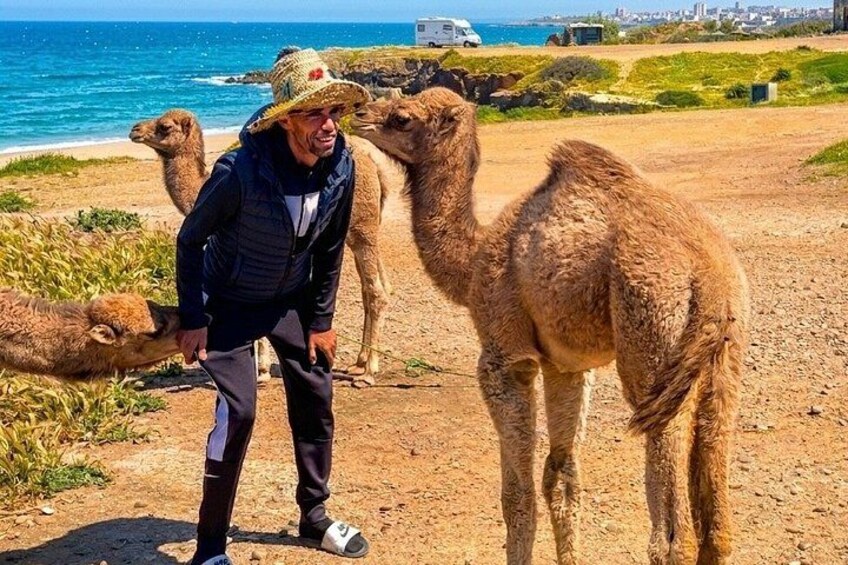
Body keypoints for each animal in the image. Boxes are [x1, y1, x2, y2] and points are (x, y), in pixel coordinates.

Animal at [129, 109, 401, 385]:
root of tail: (375, 164)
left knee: (376, 291)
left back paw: (369, 372)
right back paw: (359, 362)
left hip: (361, 229)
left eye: (164, 126)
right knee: (372, 288)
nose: (134, 130)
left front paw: (260, 371)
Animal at [352, 87, 749, 565]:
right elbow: (561, 478)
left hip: (652, 330)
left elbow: (516, 495)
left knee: (673, 532)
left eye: (402, 117)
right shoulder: (567, 365)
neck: (473, 259)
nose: (357, 113)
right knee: (718, 512)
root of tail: (710, 272)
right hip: (724, 355)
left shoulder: (505, 357)